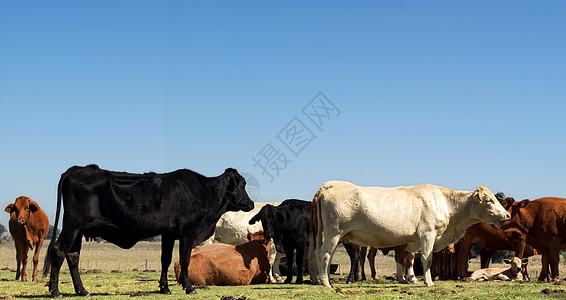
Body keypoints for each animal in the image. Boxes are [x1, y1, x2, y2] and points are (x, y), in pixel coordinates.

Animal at [44, 165, 255, 296]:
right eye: (242, 184)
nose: (251, 203)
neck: (202, 193)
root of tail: (73, 170)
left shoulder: (168, 233)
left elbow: (165, 259)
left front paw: (164, 288)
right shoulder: (187, 231)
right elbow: (184, 259)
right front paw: (188, 287)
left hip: (78, 231)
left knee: (73, 257)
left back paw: (82, 291)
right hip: (72, 227)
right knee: (59, 251)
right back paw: (56, 291)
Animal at [310, 182, 510, 288]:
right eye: (489, 200)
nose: (507, 215)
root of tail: (331, 184)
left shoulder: (414, 239)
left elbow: (410, 258)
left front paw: (412, 278)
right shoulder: (428, 234)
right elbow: (427, 259)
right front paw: (428, 282)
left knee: (321, 255)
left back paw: (323, 280)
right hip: (334, 233)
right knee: (326, 255)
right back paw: (327, 283)